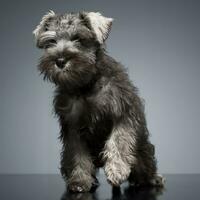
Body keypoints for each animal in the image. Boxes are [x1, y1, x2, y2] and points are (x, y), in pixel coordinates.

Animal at [33, 10, 164, 192]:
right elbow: (78, 155)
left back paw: (151, 178)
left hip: (143, 152)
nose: (60, 61)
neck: (86, 85)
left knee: (145, 166)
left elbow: (118, 142)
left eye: (79, 39)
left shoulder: (123, 115)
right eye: (51, 41)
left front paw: (116, 171)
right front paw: (80, 181)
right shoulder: (73, 127)